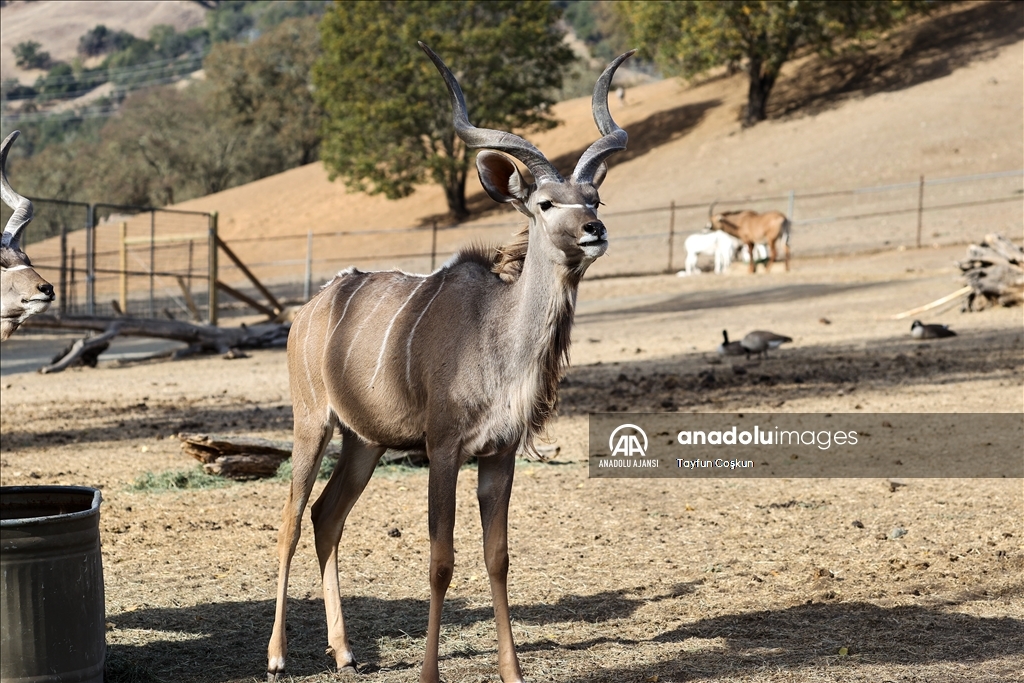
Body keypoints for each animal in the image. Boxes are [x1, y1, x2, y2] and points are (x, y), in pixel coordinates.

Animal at [264, 44, 630, 683]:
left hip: (365, 442)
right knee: (290, 520)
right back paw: (279, 655)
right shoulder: (443, 449)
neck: (497, 337)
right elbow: (440, 559)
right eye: (544, 203)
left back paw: (345, 652)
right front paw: (430, 672)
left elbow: (498, 557)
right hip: (311, 424)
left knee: (326, 516)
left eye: (594, 198)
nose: (594, 230)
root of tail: (310, 309)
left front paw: (512, 672)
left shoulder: (498, 455)